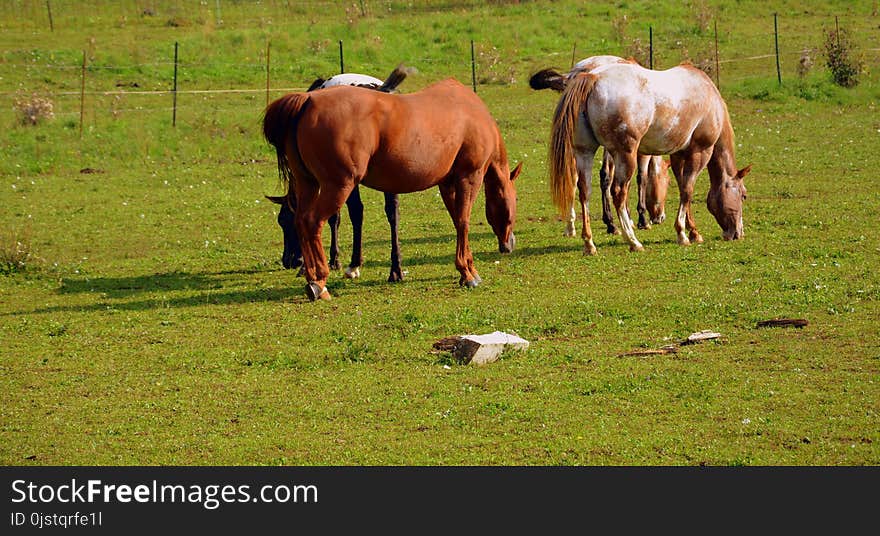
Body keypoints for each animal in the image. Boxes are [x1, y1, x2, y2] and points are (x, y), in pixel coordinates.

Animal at [262, 77, 524, 300]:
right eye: (515, 201)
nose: (509, 244)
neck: (470, 112)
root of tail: (308, 100)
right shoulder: (469, 178)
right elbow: (463, 222)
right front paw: (468, 272)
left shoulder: (447, 184)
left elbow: (457, 221)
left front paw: (467, 269)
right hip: (337, 186)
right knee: (313, 222)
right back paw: (319, 281)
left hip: (308, 184)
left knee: (301, 221)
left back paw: (311, 276)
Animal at [528, 55, 668, 238]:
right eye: (667, 180)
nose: (661, 217)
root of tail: (580, 72)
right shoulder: (634, 151)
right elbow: (639, 178)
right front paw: (640, 219)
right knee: (605, 176)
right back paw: (610, 223)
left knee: (574, 176)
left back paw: (571, 226)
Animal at [552, 61, 748, 254]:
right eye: (743, 196)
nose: (738, 233)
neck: (708, 95)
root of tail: (592, 76)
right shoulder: (700, 152)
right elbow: (687, 190)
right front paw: (682, 233)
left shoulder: (678, 155)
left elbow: (683, 187)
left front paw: (693, 231)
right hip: (625, 155)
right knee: (618, 192)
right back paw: (633, 240)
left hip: (584, 152)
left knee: (584, 191)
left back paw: (589, 243)